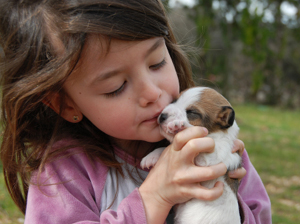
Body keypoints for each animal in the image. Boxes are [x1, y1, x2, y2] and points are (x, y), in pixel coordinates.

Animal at [141, 87, 241, 224]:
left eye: (192, 112)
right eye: (174, 100)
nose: (162, 116)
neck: (215, 134)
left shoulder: (210, 158)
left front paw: (178, 126)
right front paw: (151, 157)